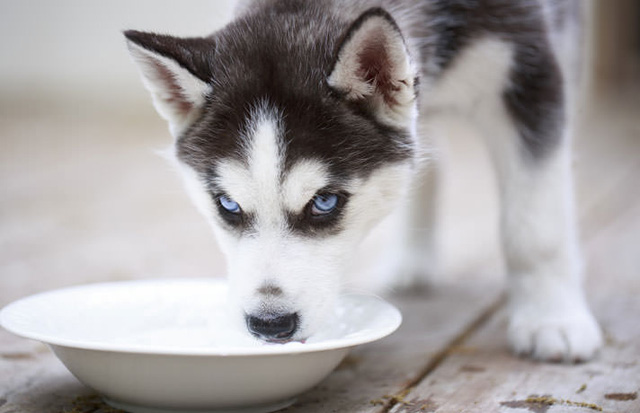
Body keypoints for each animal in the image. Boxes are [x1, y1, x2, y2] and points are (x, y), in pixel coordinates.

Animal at [124, 0, 600, 360]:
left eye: (325, 202)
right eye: (227, 205)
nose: (270, 325)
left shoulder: (528, 73)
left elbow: (535, 227)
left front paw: (552, 319)